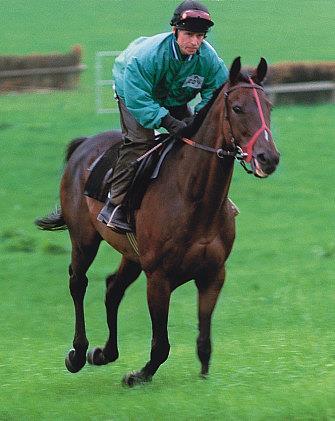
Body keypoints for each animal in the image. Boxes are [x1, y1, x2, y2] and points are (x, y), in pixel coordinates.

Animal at [35, 57, 280, 386]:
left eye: (268, 105)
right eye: (238, 108)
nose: (268, 157)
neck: (193, 197)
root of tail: (85, 144)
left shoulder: (213, 274)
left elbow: (204, 341)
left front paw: (203, 379)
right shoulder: (159, 277)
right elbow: (161, 343)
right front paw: (139, 375)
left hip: (132, 254)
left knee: (112, 288)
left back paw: (104, 353)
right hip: (84, 238)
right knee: (78, 282)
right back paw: (78, 353)